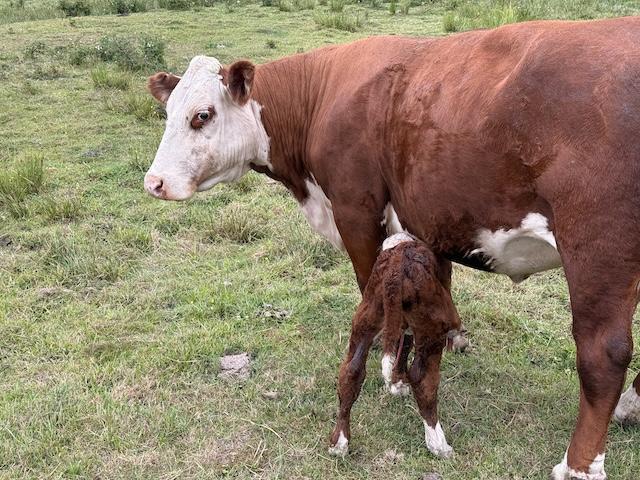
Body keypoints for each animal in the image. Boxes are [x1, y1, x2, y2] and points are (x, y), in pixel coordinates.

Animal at [329, 232, 461, 459]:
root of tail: (397, 263)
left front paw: (396, 382)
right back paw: (438, 444)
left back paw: (339, 443)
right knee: (422, 378)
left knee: (350, 371)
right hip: (432, 329)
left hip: (366, 315)